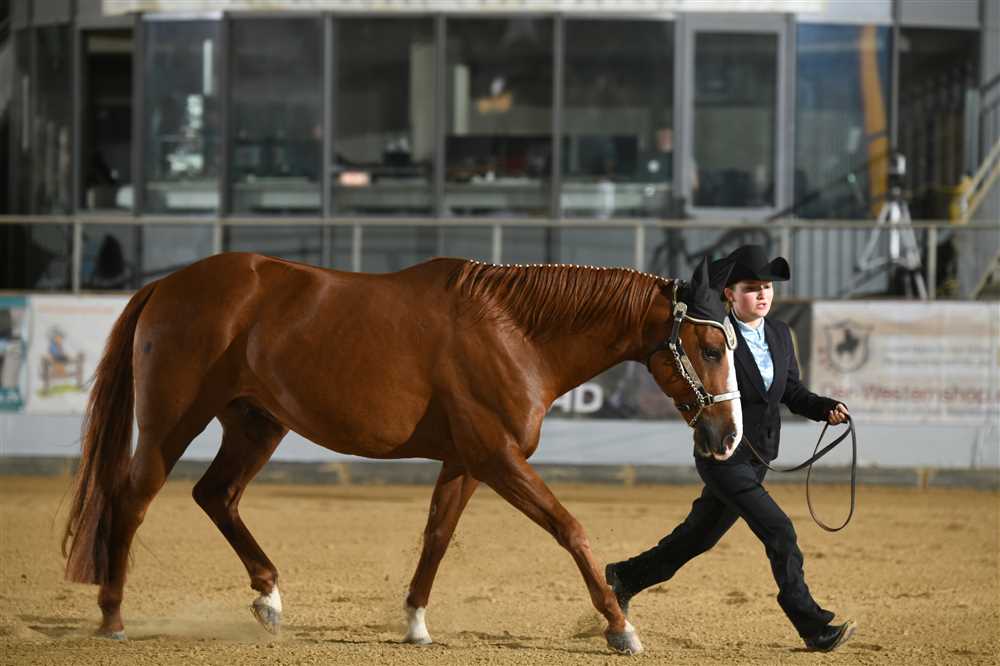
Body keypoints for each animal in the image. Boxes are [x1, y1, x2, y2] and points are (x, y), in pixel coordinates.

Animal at [62, 251, 741, 655]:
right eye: (711, 347)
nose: (728, 436)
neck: (512, 331)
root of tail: (166, 284)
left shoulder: (468, 461)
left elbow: (437, 534)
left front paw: (415, 621)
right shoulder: (496, 457)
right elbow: (569, 528)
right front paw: (619, 627)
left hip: (257, 425)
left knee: (216, 495)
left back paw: (268, 598)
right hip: (171, 423)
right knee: (131, 500)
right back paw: (112, 617)